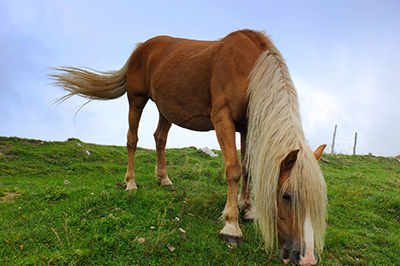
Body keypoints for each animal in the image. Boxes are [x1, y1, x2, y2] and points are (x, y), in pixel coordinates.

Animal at [50, 30, 326, 264]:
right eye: (287, 196)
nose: (305, 257)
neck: (249, 70)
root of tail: (141, 47)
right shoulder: (223, 119)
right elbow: (233, 169)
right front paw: (231, 227)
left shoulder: (247, 125)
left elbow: (247, 168)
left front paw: (247, 209)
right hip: (136, 99)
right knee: (132, 139)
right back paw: (130, 183)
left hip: (165, 109)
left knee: (159, 138)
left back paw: (164, 179)